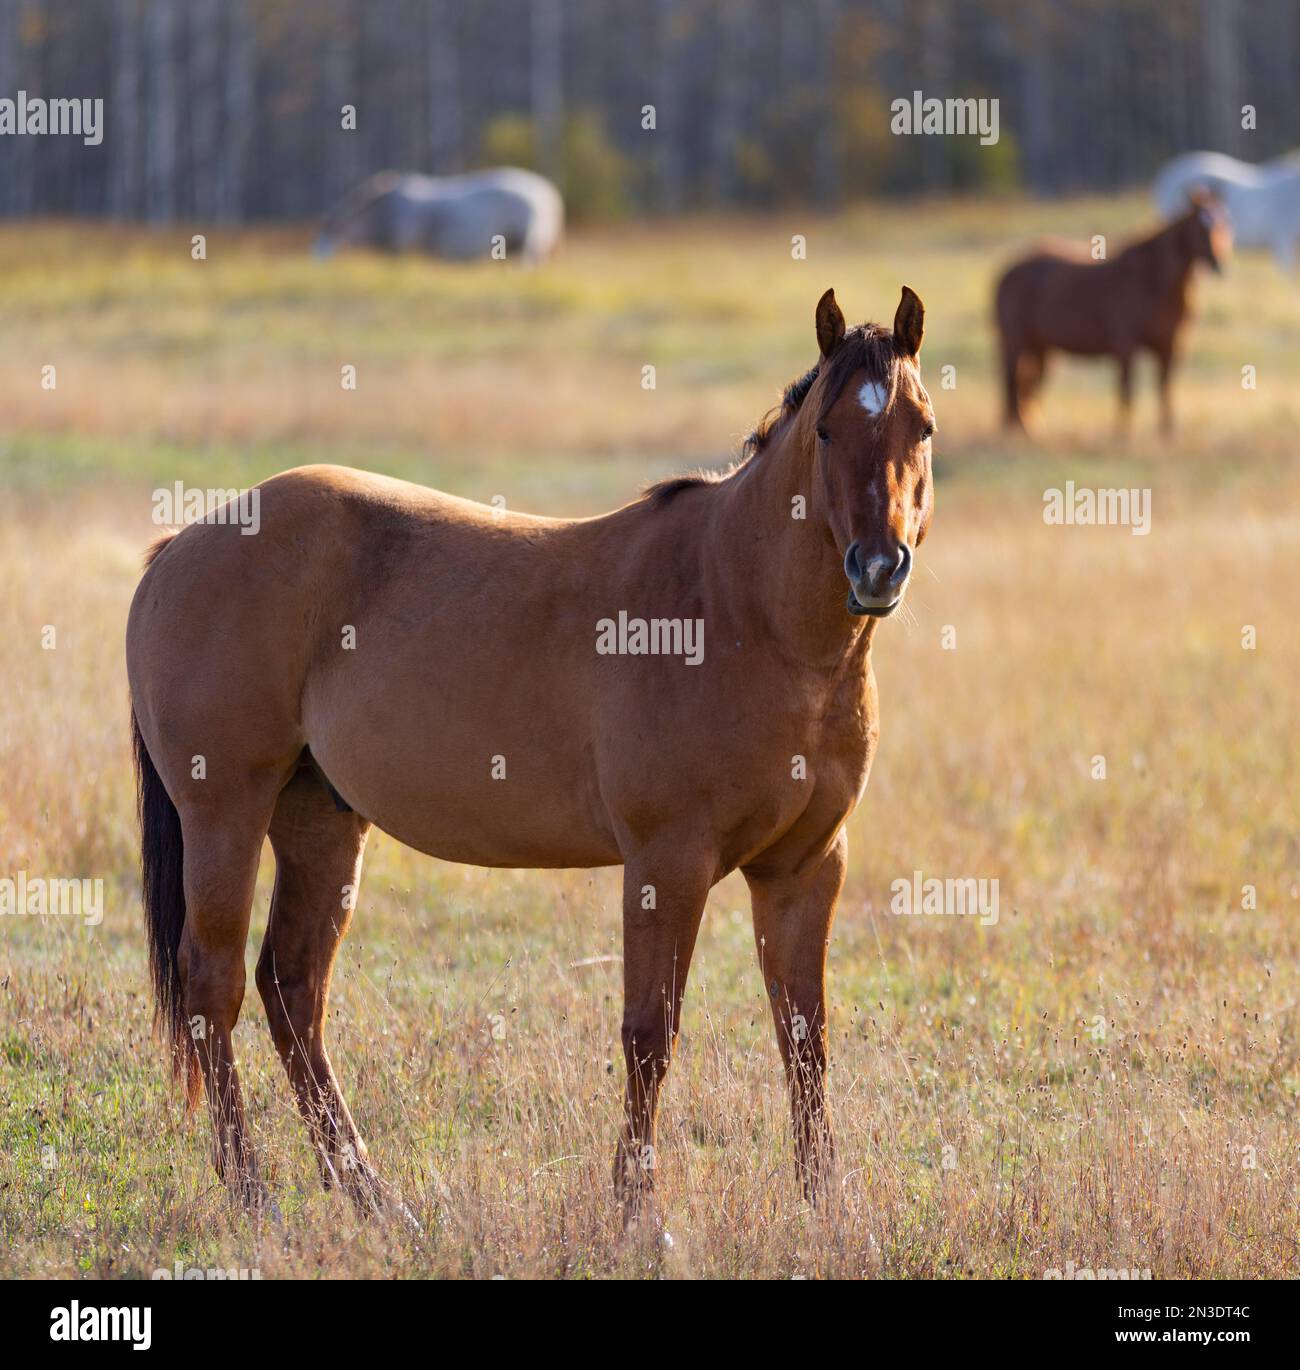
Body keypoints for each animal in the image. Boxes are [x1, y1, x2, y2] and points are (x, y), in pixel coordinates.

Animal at [126, 286, 931, 1222]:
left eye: (921, 426)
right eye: (828, 431)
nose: (878, 568)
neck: (742, 611)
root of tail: (179, 548)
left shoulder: (805, 867)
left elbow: (806, 1037)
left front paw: (825, 1206)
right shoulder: (668, 862)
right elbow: (650, 1035)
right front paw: (639, 1216)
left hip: (319, 822)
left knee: (291, 991)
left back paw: (373, 1198)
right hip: (225, 812)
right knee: (211, 988)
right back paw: (253, 1192)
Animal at [991, 193, 1227, 432]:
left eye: (1223, 223)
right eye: (1201, 227)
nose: (1219, 263)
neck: (1153, 281)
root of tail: (1006, 273)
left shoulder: (1171, 346)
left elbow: (1164, 388)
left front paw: (1167, 431)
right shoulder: (1125, 345)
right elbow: (1126, 389)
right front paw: (1122, 432)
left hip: (1041, 348)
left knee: (1027, 384)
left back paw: (1029, 427)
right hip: (1015, 342)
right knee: (1012, 381)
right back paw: (1017, 428)